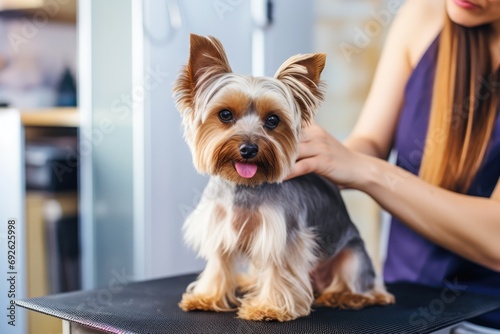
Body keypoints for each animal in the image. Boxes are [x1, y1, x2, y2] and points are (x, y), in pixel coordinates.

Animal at [173, 33, 394, 320]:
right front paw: (207, 296)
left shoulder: (282, 235)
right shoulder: (220, 228)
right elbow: (219, 264)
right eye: (225, 114)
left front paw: (268, 307)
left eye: (272, 120)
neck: (246, 186)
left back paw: (343, 295)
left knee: (365, 287)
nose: (249, 149)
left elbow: (278, 269)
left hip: (353, 257)